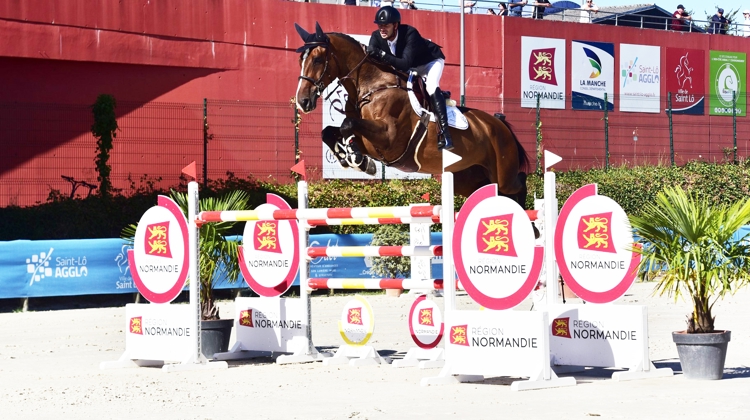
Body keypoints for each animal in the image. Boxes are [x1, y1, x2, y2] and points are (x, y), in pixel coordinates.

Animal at [292, 23, 528, 207]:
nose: (303, 101)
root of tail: (499, 124)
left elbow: (347, 124)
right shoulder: (368, 137)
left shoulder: (389, 138)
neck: (372, 86)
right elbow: (330, 131)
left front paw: (357, 159)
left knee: (520, 183)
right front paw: (352, 159)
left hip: (503, 174)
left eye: (318, 59)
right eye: (300, 60)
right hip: (470, 179)